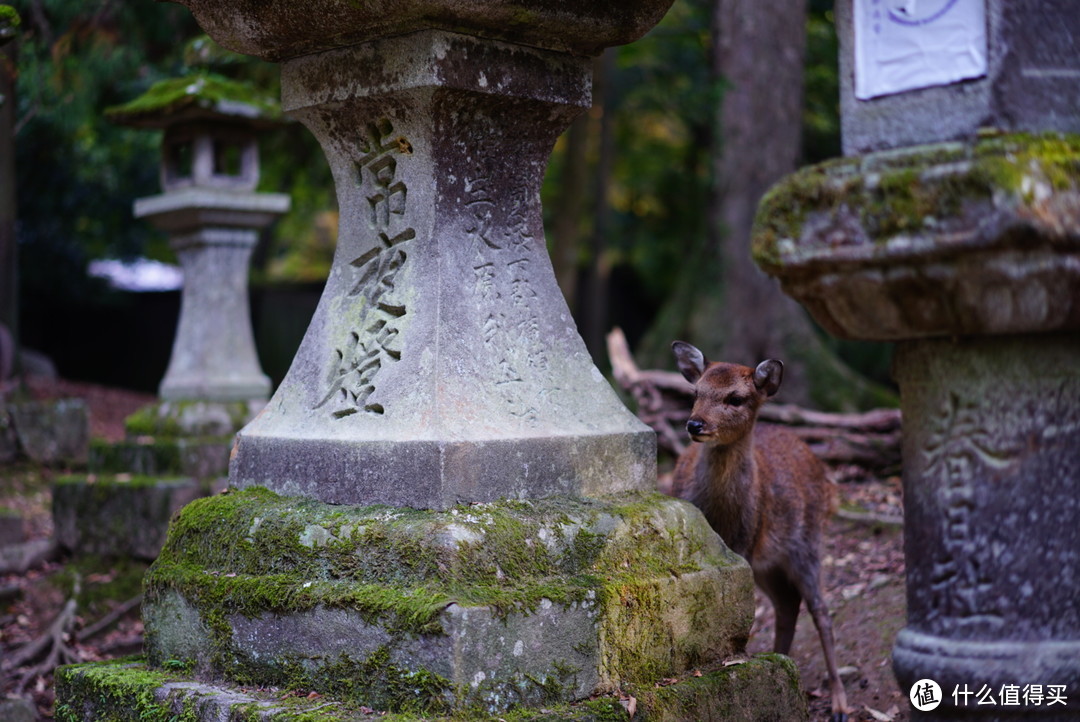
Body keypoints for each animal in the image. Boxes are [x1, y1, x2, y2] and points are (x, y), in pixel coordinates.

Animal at [669, 338, 846, 720]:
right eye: (696, 391)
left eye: (735, 398)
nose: (694, 424)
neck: (720, 514)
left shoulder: (746, 542)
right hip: (771, 562)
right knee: (788, 604)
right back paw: (782, 659)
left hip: (808, 542)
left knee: (820, 611)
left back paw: (840, 703)